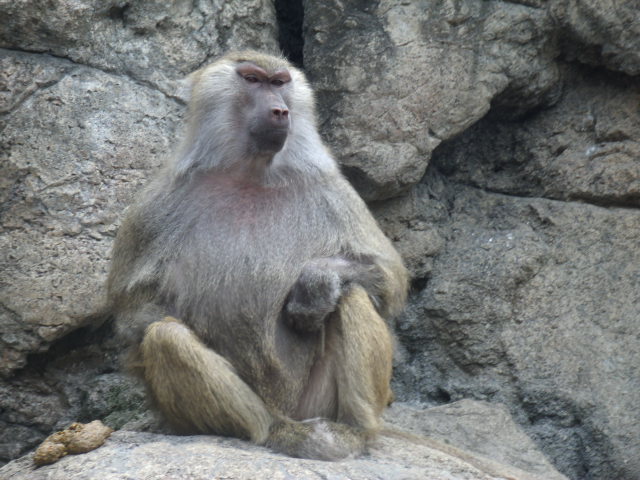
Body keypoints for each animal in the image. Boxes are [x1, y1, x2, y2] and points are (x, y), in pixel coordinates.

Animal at [106, 50, 409, 461]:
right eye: (252, 80)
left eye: (279, 82)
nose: (281, 110)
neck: (250, 173)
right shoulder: (157, 202)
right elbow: (133, 310)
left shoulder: (326, 185)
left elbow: (387, 274)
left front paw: (314, 286)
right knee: (166, 336)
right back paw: (271, 433)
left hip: (314, 403)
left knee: (351, 293)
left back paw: (354, 432)